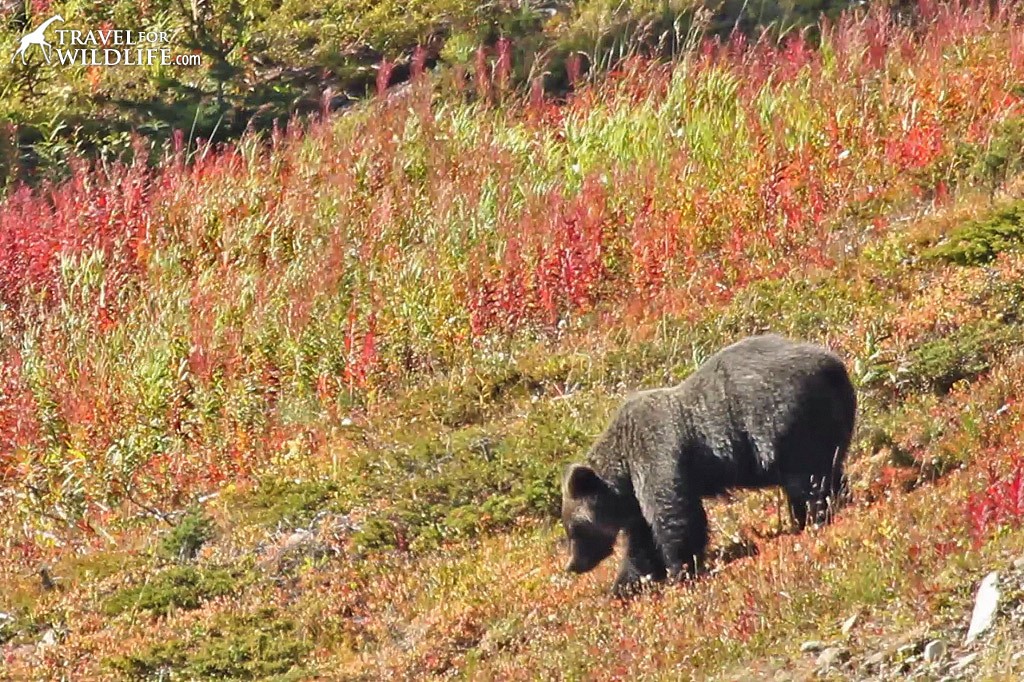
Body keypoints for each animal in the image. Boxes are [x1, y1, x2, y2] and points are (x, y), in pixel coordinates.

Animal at [561, 331, 856, 593]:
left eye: (575, 529)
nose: (573, 565)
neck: (624, 472)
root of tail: (834, 365)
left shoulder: (656, 452)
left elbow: (676, 517)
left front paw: (680, 571)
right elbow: (642, 544)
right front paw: (625, 585)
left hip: (787, 422)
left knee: (809, 481)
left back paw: (816, 518)